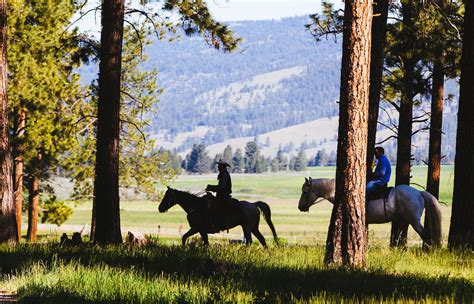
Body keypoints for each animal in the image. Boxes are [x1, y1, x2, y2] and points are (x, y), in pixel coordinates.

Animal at [298, 178, 442, 247]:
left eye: (305, 191)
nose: (300, 207)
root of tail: (419, 193)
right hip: (404, 220)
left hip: (414, 221)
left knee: (425, 235)